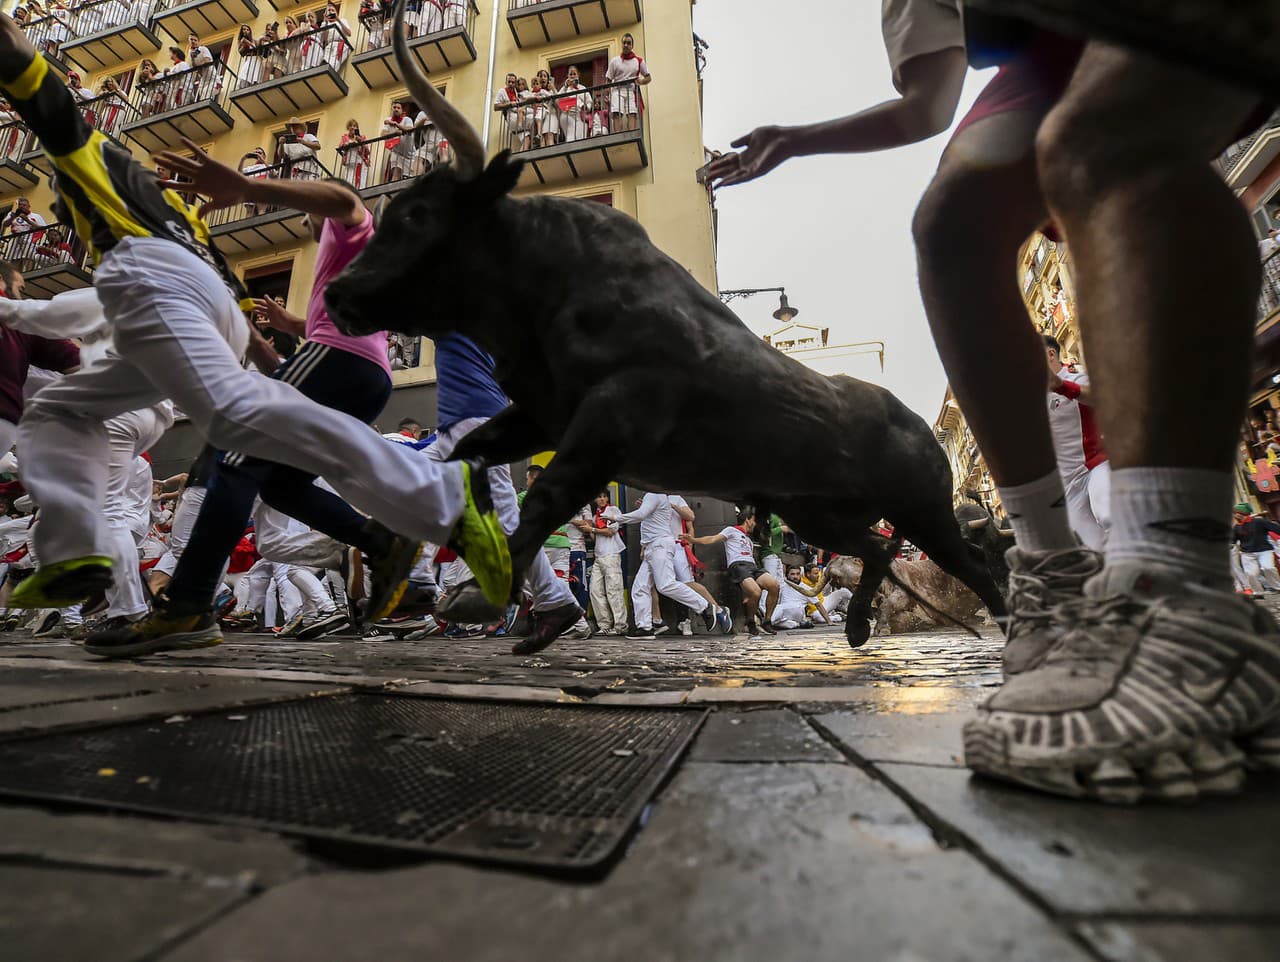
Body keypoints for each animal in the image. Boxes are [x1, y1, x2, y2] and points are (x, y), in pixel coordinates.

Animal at [327, 156, 1008, 647]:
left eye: (417, 215)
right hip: (819, 513)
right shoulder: (542, 415)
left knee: (971, 563)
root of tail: (916, 423)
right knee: (874, 549)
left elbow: (548, 496)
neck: (550, 284)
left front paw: (476, 592)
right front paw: (398, 556)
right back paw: (861, 624)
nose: (336, 293)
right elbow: (464, 455)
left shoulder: (610, 419)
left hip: (923, 510)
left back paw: (1001, 625)